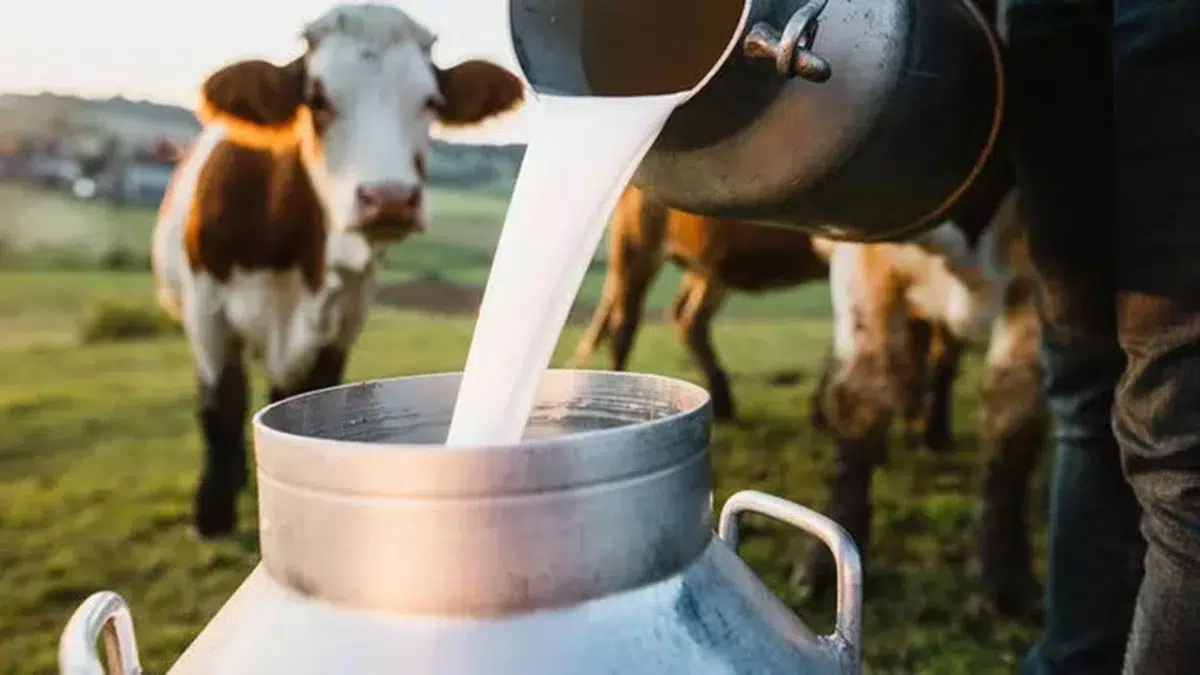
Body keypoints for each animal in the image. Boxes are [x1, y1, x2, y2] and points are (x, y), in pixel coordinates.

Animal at [150, 1, 525, 535]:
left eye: (431, 101)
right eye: (317, 99)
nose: (389, 198)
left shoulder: (343, 320)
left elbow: (304, 394)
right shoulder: (206, 311)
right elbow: (221, 406)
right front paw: (213, 511)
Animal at [806, 183, 1051, 619]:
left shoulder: (1036, 280)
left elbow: (1015, 415)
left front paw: (1005, 577)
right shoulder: (865, 261)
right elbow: (859, 401)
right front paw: (827, 566)